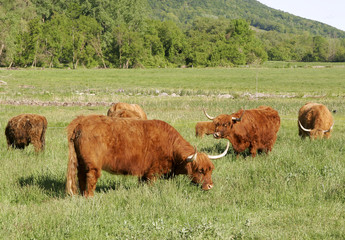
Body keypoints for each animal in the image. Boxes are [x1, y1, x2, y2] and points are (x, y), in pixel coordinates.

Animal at [66, 115, 230, 197]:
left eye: (210, 169)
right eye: (200, 170)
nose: (210, 186)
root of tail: (80, 121)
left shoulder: (144, 173)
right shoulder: (153, 172)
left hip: (80, 161)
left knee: (80, 177)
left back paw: (81, 195)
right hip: (92, 165)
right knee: (91, 178)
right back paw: (89, 197)